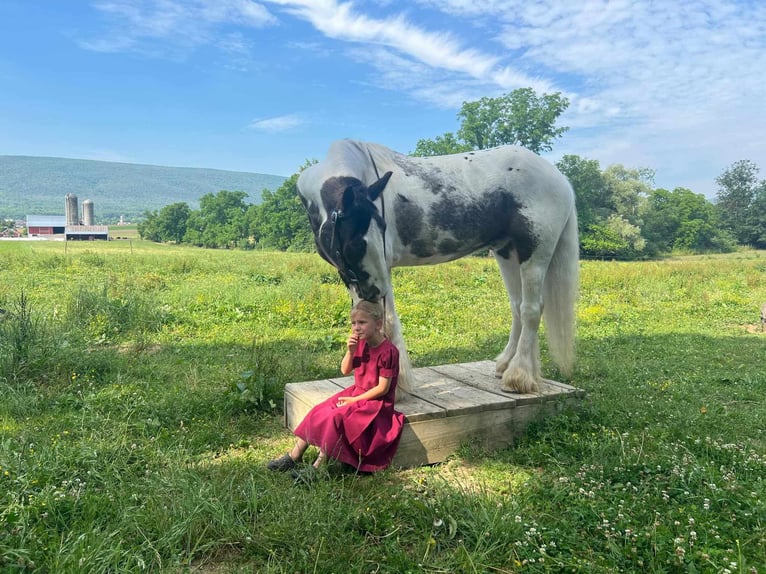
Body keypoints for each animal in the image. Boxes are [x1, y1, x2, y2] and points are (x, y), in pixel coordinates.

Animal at [296, 140, 580, 400]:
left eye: (382, 227)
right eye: (356, 241)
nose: (376, 292)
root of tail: (559, 177)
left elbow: (387, 320)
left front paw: (396, 387)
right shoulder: (351, 274)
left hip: (535, 252)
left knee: (531, 309)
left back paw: (518, 377)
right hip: (507, 253)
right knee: (518, 306)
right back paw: (508, 366)